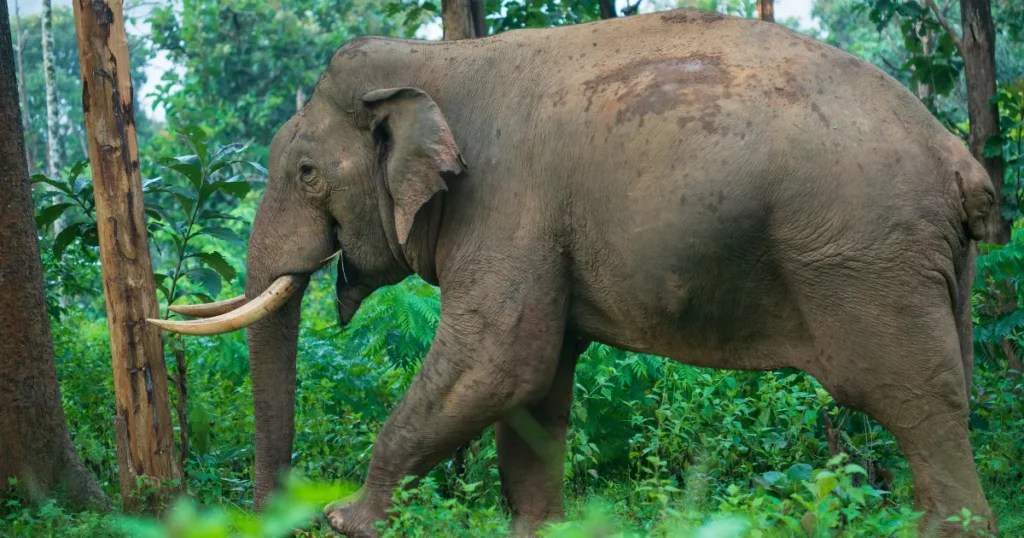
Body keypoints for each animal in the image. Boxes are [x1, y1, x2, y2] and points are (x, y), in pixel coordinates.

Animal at [151, 8, 998, 537]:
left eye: (305, 174)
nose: (276, 517)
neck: (437, 62)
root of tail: (959, 161)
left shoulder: (506, 201)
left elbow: (497, 360)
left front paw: (348, 522)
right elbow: (536, 381)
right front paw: (535, 528)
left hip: (865, 258)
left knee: (914, 397)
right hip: (924, 262)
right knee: (945, 386)